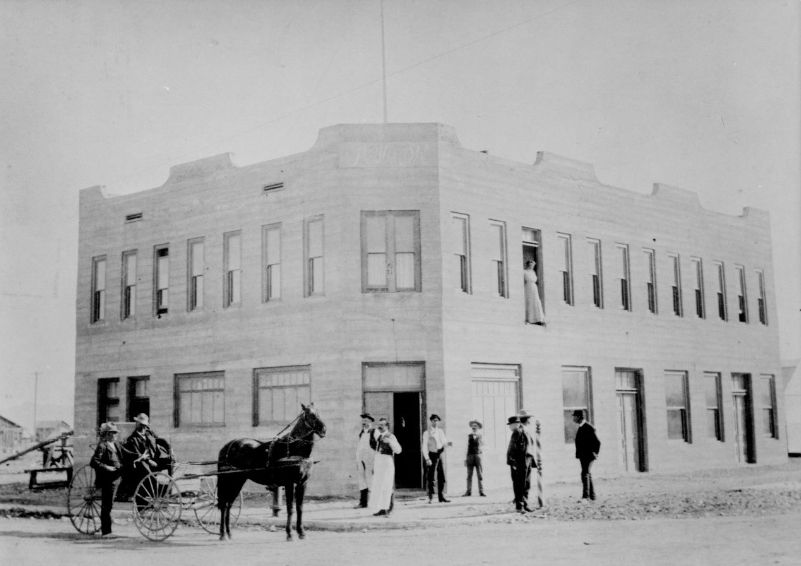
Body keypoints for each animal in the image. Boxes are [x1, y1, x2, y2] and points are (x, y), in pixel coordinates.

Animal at [216, 406, 324, 544]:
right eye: (311, 415)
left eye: (318, 413)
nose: (324, 430)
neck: (293, 449)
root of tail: (228, 446)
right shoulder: (289, 483)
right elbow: (290, 508)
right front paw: (289, 534)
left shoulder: (302, 483)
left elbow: (300, 508)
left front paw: (302, 533)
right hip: (228, 480)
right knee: (224, 504)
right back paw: (222, 534)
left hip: (238, 481)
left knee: (228, 504)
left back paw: (229, 533)